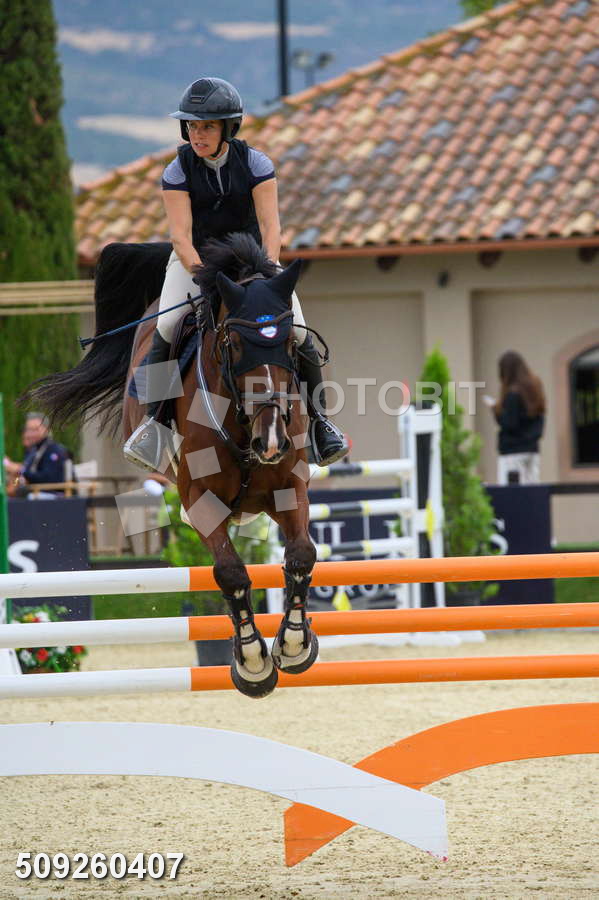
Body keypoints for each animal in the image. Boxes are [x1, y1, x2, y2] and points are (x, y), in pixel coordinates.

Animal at [24, 233, 319, 698]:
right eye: (234, 344)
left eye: (292, 344)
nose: (271, 441)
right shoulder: (200, 499)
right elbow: (231, 572)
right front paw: (253, 664)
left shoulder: (289, 487)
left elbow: (302, 554)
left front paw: (293, 645)